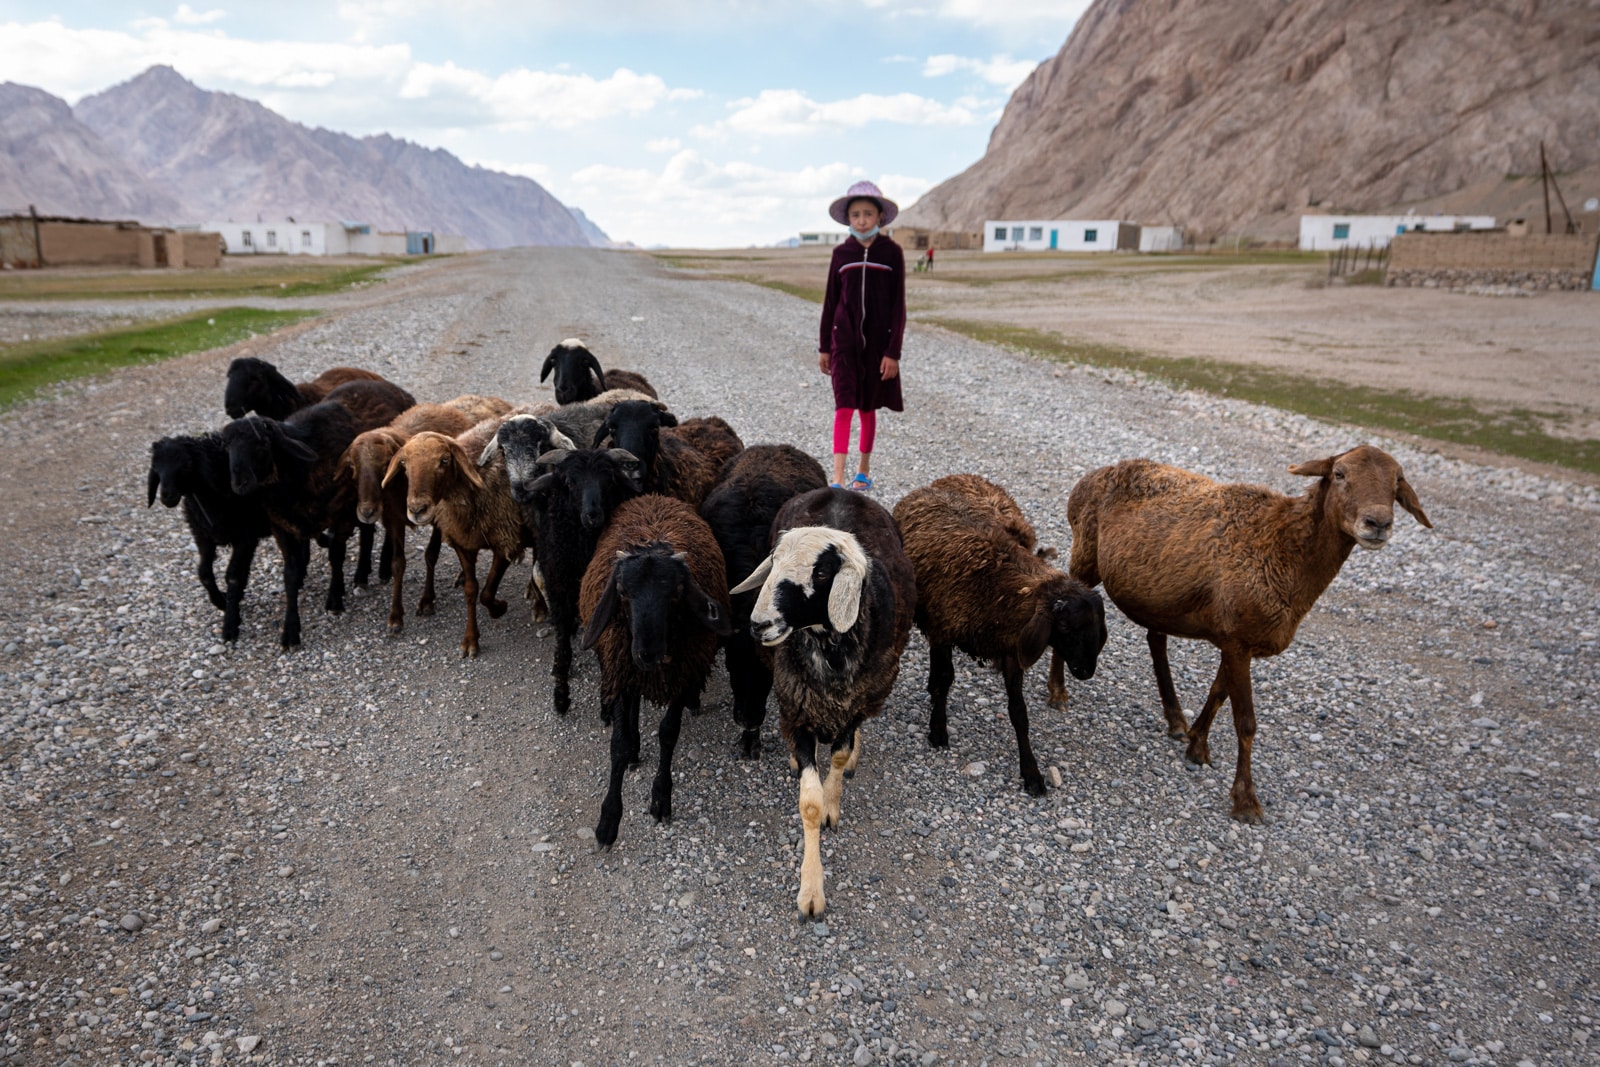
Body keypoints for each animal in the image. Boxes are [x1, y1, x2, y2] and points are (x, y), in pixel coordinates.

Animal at [896, 476, 1107, 793]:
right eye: (1066, 627)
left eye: (1098, 630)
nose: (1085, 671)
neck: (998, 586)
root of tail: (932, 486)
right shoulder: (943, 630)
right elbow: (945, 680)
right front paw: (938, 730)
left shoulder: (1011, 651)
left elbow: (1019, 712)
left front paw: (1031, 772)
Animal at [1068, 447, 1433, 825]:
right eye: (1340, 474)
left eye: (1397, 481)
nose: (1378, 523)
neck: (1286, 549)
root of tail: (1101, 471)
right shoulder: (1238, 641)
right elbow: (1245, 723)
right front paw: (1245, 800)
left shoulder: (1237, 638)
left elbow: (1217, 694)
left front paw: (1197, 745)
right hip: (1084, 556)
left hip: (1161, 596)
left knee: (1156, 639)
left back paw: (1175, 718)